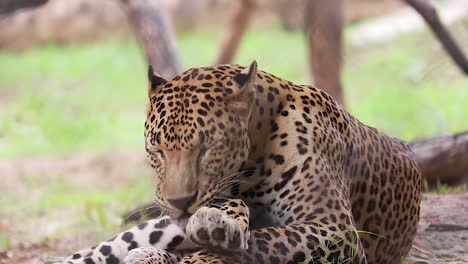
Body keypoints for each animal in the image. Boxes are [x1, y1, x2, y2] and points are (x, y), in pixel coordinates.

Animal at [51, 61, 420, 264]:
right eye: (157, 149)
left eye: (207, 147)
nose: (180, 202)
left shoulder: (335, 228)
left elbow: (265, 240)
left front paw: (216, 239)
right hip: (156, 227)